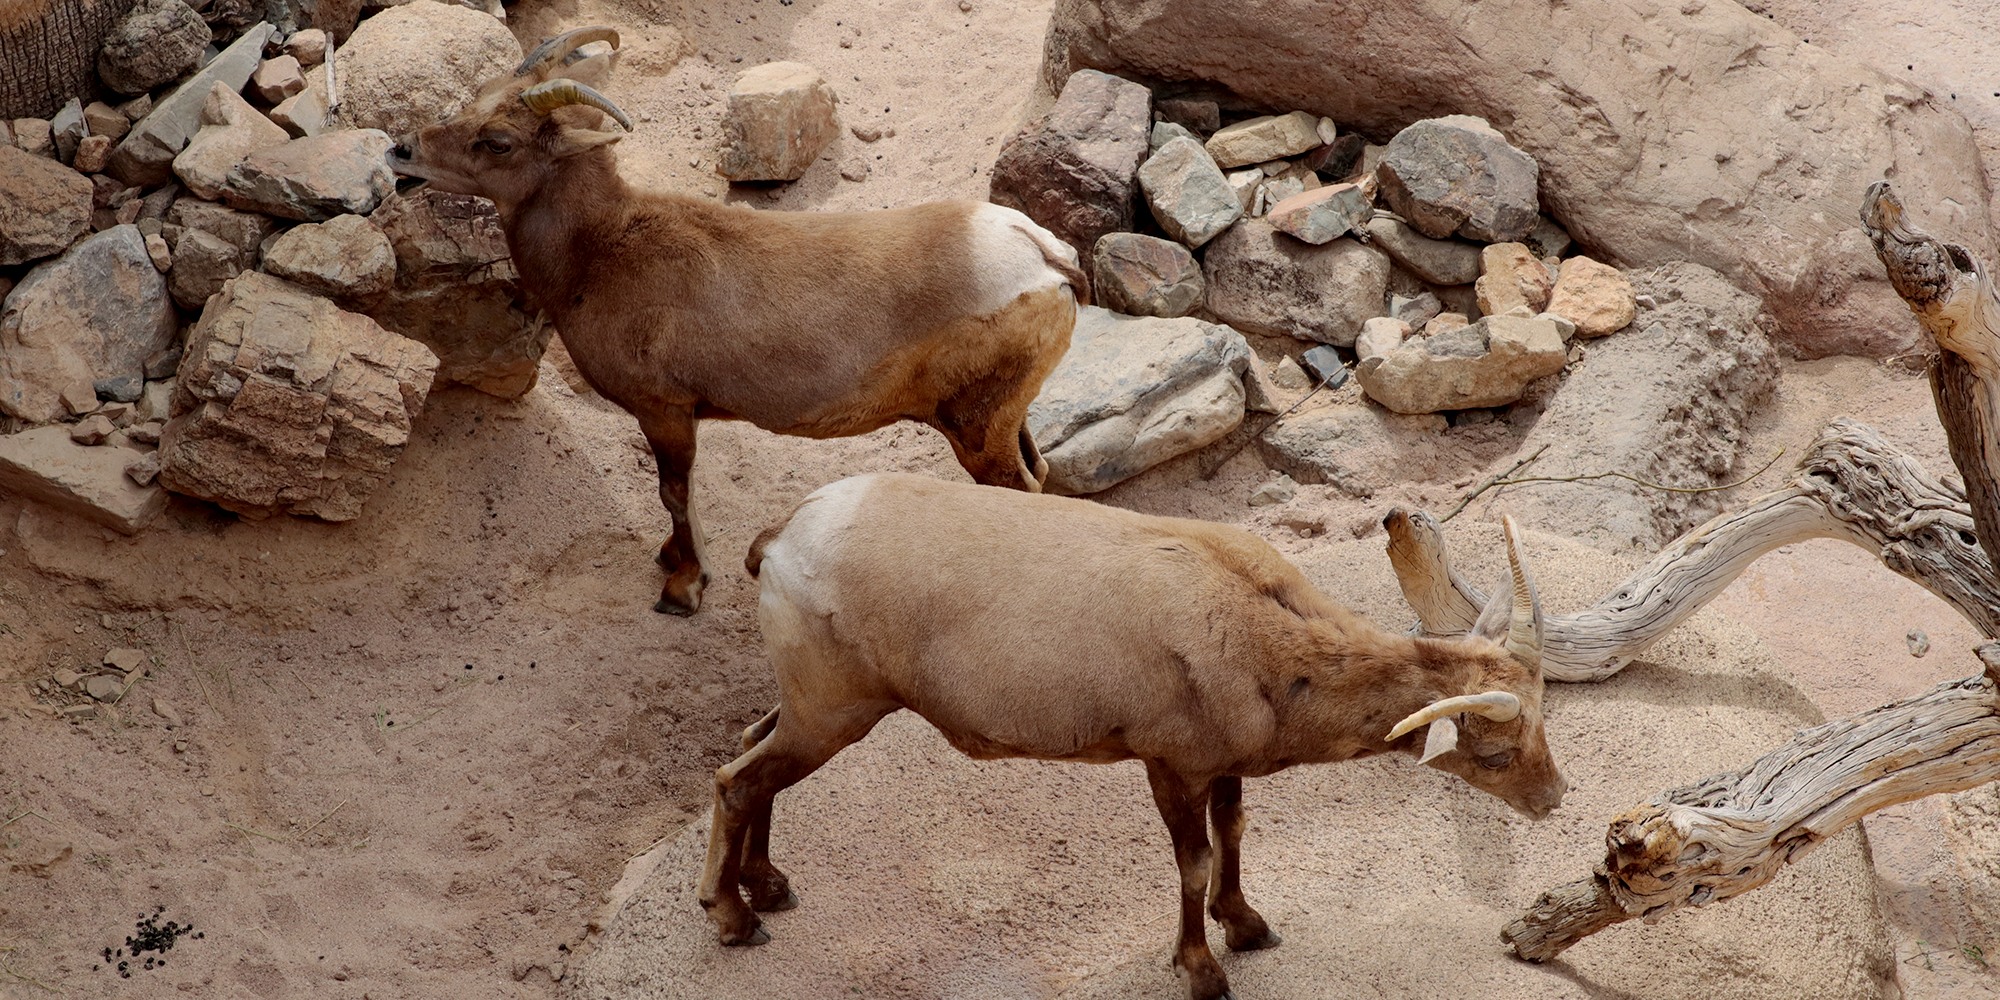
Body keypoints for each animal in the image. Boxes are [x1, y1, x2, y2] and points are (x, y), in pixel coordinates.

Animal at [384, 29, 1088, 616]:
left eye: (498, 141)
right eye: (476, 98)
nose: (401, 152)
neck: (600, 252)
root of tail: (1042, 257)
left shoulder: (664, 411)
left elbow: (675, 494)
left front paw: (682, 589)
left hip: (976, 432)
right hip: (1004, 419)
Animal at [712, 472, 1568, 1000]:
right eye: (1495, 749)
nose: (1555, 799)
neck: (1260, 638)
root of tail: (779, 540)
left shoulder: (1222, 763)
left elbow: (1234, 832)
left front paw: (1248, 927)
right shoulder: (1168, 762)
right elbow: (1194, 861)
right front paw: (1203, 971)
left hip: (812, 702)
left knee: (749, 748)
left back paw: (769, 886)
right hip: (836, 710)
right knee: (736, 779)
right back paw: (735, 920)